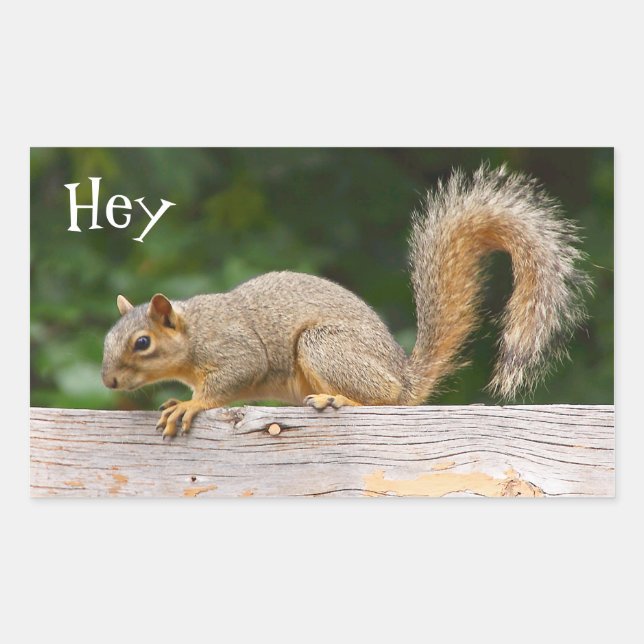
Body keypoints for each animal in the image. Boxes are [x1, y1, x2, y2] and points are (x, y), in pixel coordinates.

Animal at [101, 164, 591, 438]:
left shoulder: (236, 350)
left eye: (142, 343)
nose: (108, 381)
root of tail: (404, 380)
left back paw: (338, 401)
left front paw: (189, 405)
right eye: (110, 339)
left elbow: (229, 381)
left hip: (325, 345)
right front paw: (175, 401)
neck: (195, 330)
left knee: (382, 401)